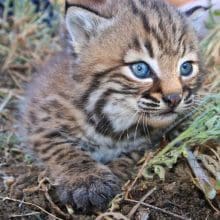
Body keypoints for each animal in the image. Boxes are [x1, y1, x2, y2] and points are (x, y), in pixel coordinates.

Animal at [20, 0, 203, 213]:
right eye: (140, 69)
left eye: (186, 68)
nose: (174, 98)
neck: (114, 117)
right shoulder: (38, 122)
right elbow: (64, 150)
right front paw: (88, 181)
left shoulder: (145, 142)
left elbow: (130, 156)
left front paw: (114, 172)